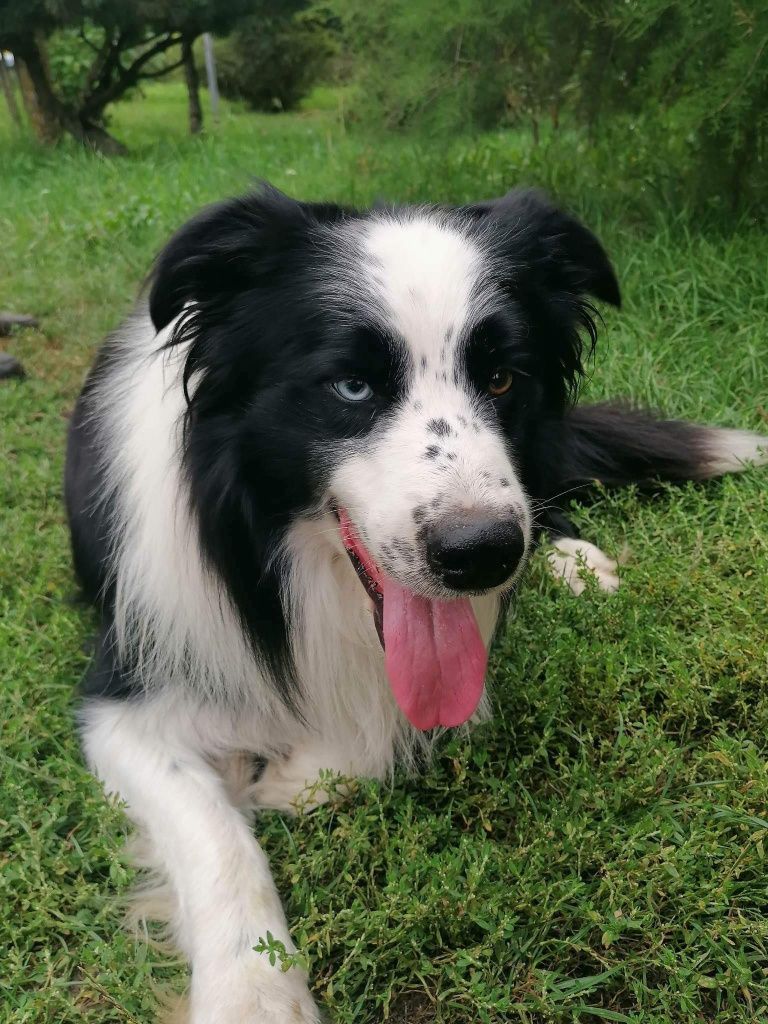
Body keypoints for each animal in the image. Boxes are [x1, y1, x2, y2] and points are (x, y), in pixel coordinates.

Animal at [67, 186, 768, 1024]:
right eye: (351, 386)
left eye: (501, 379)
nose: (483, 555)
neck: (284, 561)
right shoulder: (125, 694)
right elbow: (216, 834)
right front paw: (254, 996)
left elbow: (387, 722)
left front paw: (295, 776)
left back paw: (574, 559)